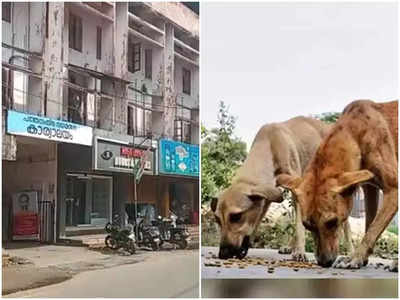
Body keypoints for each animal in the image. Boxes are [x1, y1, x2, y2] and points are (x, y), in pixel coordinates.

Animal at [211, 116, 352, 262]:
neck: (270, 143)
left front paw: (300, 252)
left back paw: (351, 253)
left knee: (345, 225)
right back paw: (289, 246)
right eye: (217, 219)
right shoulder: (267, 196)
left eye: (236, 217)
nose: (223, 254)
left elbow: (299, 226)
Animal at [278, 99, 396, 268]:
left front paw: (355, 257)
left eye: (332, 222)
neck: (354, 133)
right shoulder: (370, 190)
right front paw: (362, 258)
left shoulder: (394, 190)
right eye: (307, 225)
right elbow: (370, 225)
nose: (323, 262)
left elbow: (372, 230)